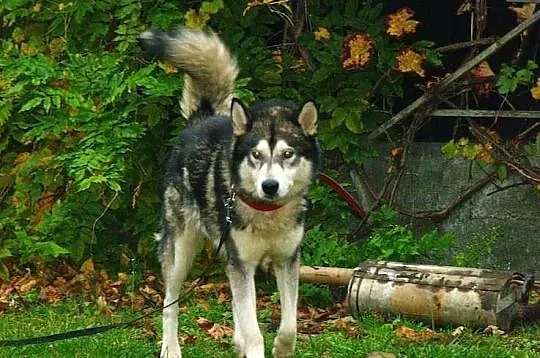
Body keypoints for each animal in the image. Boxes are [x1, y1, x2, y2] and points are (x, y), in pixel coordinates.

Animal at [139, 26, 320, 356]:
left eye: (288, 154)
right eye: (256, 155)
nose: (269, 186)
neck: (267, 214)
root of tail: (201, 119)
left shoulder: (287, 260)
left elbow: (289, 327)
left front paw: (281, 349)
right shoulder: (242, 263)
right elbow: (254, 332)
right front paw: (254, 347)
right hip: (181, 250)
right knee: (170, 303)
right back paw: (170, 346)